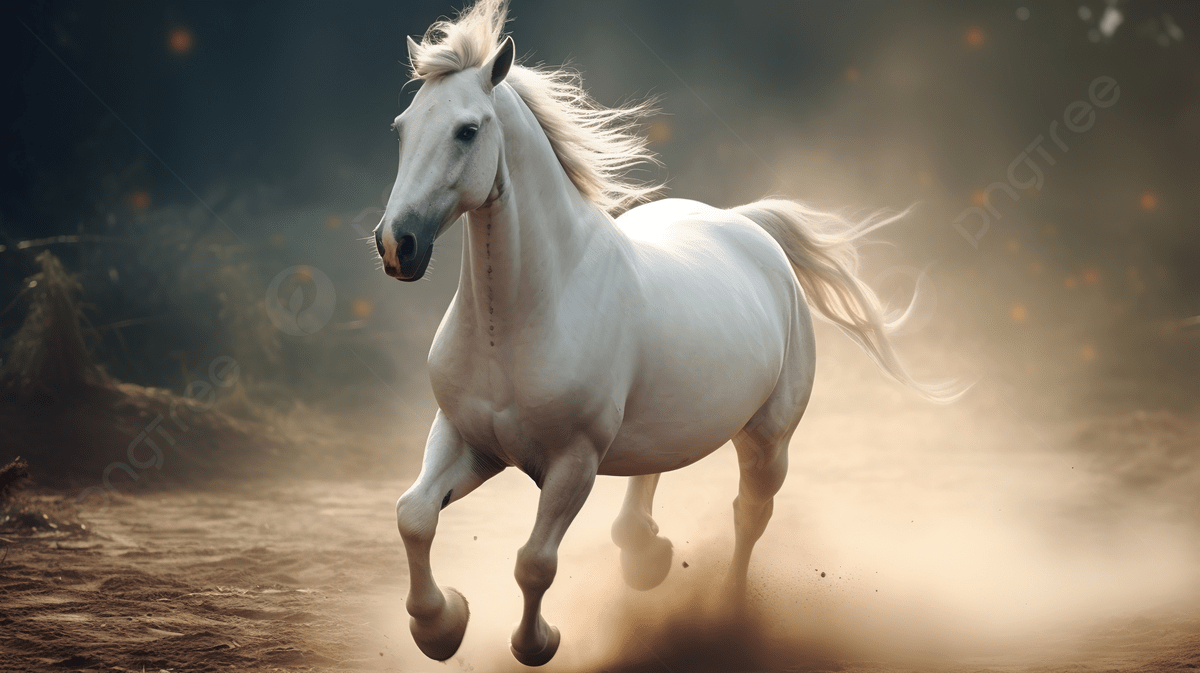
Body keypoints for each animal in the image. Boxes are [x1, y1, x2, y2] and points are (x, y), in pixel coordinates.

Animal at [374, 0, 964, 665]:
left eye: (467, 131)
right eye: (402, 128)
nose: (396, 245)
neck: (520, 323)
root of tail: (747, 226)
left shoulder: (572, 462)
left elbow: (535, 563)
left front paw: (538, 641)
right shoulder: (467, 438)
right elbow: (414, 515)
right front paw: (441, 626)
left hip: (768, 442)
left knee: (748, 516)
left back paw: (728, 616)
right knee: (650, 476)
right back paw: (646, 555)